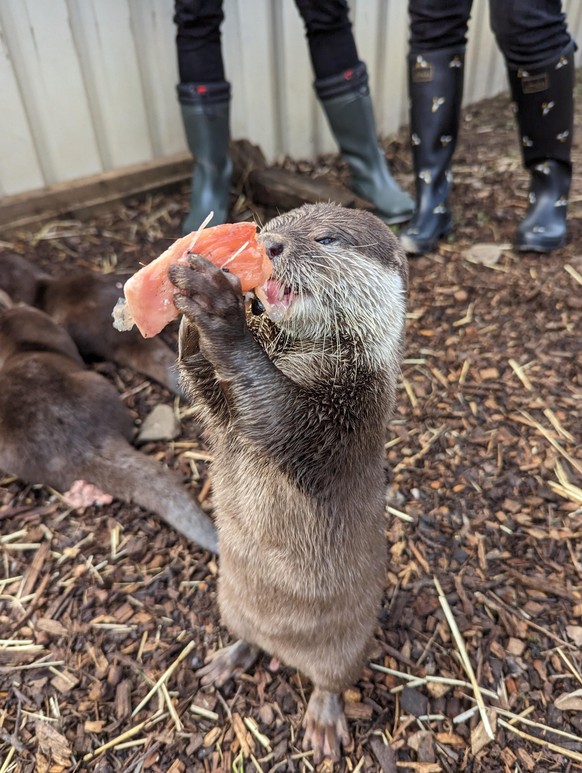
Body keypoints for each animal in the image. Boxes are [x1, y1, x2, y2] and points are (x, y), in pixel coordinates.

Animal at [167, 201, 408, 760]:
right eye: (274, 225)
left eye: (327, 239)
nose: (270, 245)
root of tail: (285, 651)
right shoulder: (227, 416)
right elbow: (212, 394)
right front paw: (186, 315)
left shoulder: (350, 416)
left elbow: (283, 421)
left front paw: (218, 308)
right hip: (231, 604)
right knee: (249, 638)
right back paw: (228, 660)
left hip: (348, 648)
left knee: (332, 682)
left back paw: (324, 722)